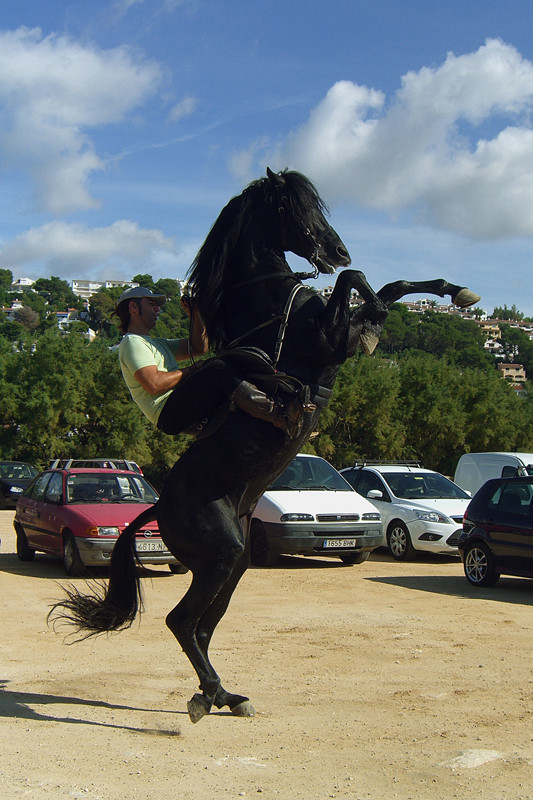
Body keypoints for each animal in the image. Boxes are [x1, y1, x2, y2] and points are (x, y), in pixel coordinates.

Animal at [52, 169, 480, 724]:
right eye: (294, 208)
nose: (336, 249)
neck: (269, 299)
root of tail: (157, 507)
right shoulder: (332, 339)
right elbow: (360, 281)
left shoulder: (343, 331)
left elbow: (392, 286)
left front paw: (457, 291)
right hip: (222, 555)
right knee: (181, 621)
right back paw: (211, 695)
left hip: (232, 564)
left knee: (201, 627)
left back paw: (223, 695)